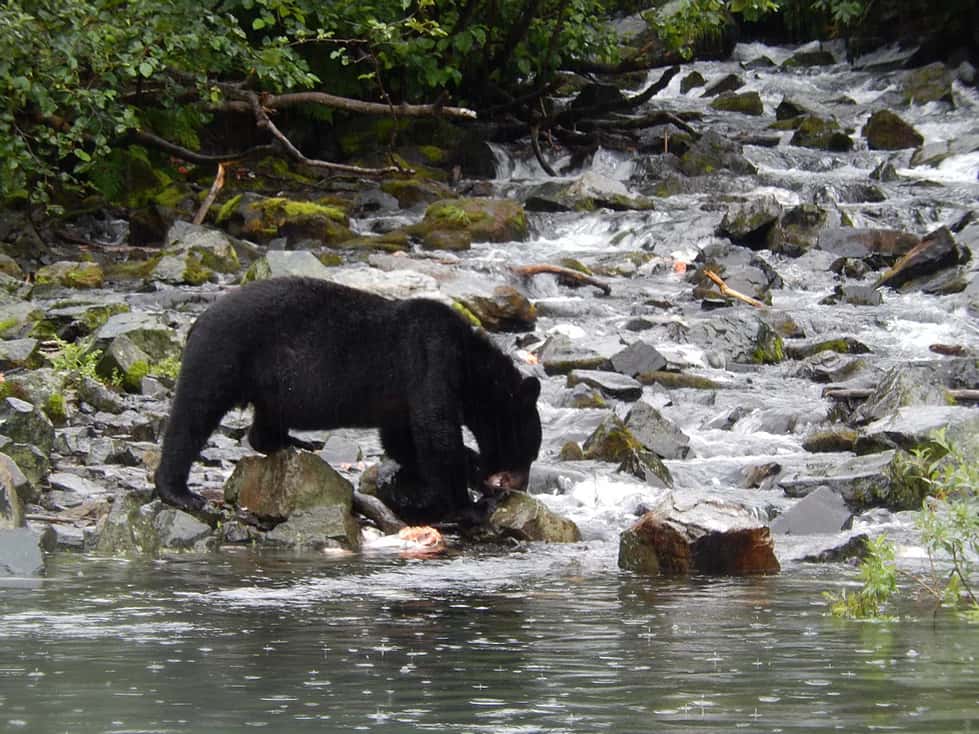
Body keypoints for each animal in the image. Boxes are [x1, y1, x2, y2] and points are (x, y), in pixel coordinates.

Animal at [154, 276, 542, 522]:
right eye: (529, 451)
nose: (520, 484)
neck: (470, 365)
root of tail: (198, 320)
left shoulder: (400, 398)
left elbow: (402, 437)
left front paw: (472, 468)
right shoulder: (431, 359)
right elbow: (435, 432)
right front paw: (472, 503)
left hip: (268, 384)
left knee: (262, 422)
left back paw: (292, 442)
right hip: (223, 355)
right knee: (193, 415)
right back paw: (179, 491)